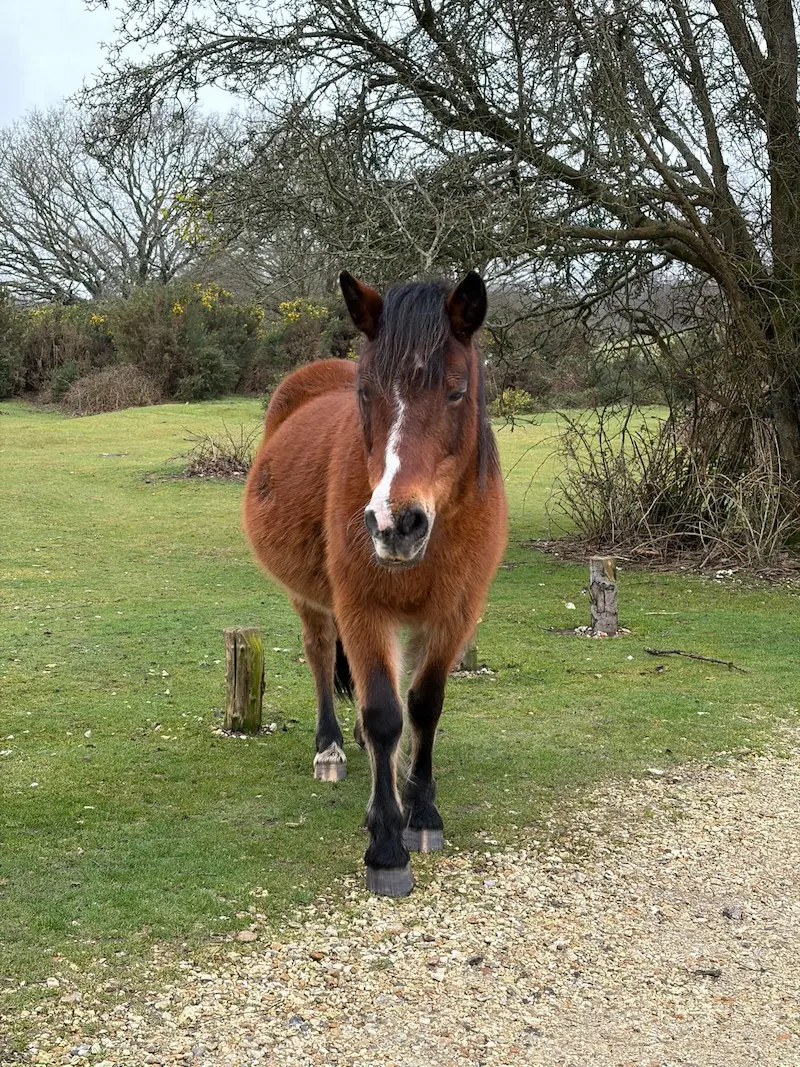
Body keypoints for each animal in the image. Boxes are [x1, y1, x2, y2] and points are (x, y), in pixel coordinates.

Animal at [242, 271, 507, 896]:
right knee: (320, 656)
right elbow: (386, 714)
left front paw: (423, 813)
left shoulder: (453, 616)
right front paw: (386, 846)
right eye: (365, 393)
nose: (394, 524)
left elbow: (424, 705)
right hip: (312, 601)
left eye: (456, 391)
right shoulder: (365, 611)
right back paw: (332, 749)